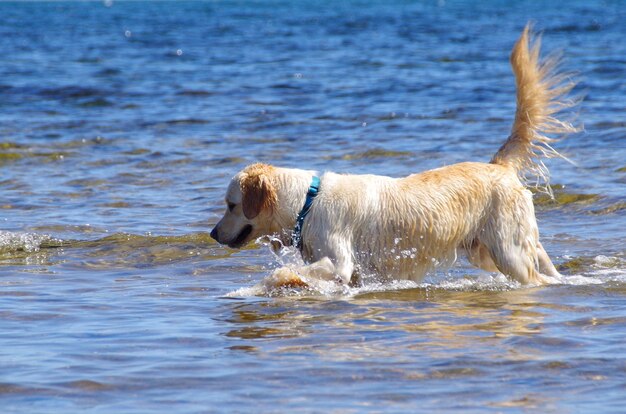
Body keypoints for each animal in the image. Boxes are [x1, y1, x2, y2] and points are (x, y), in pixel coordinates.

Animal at [208, 24, 576, 286]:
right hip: (492, 249)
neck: (306, 204)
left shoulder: (340, 261)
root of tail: (499, 166)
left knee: (535, 276)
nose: (212, 233)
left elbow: (291, 273)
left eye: (231, 205)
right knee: (544, 265)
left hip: (508, 252)